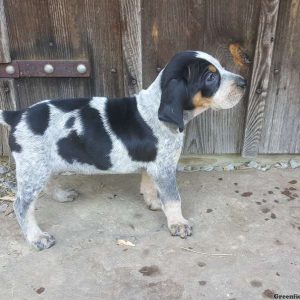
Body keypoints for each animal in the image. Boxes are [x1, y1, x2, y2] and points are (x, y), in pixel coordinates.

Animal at [0, 50, 246, 250]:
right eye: (211, 77)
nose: (244, 83)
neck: (155, 108)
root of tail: (17, 114)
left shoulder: (152, 165)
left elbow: (149, 186)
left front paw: (155, 203)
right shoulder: (164, 168)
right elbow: (173, 198)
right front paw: (178, 223)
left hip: (43, 164)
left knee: (47, 185)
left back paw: (62, 195)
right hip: (34, 168)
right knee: (21, 205)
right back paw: (37, 238)